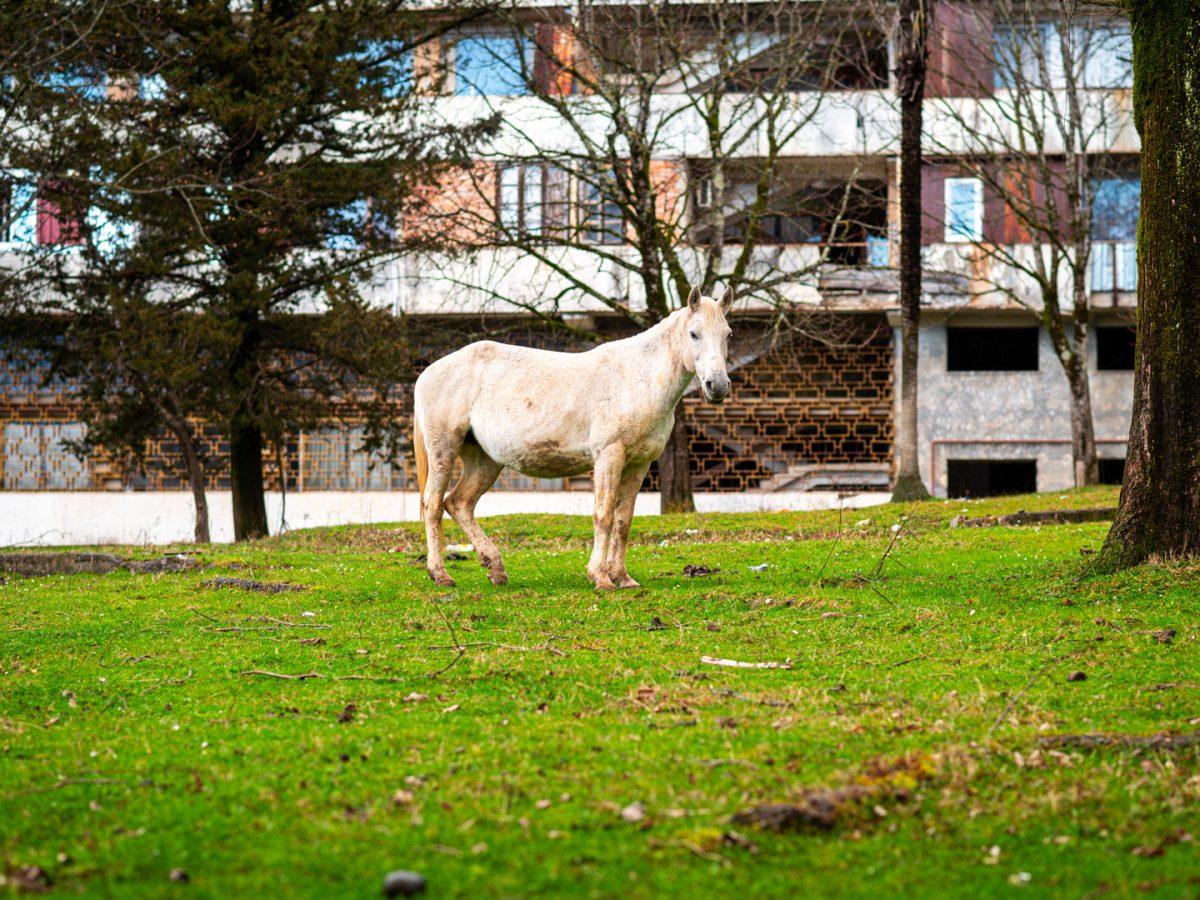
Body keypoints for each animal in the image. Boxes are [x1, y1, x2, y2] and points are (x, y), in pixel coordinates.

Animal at [412, 285, 729, 588]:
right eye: (694, 334)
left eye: (727, 334)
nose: (718, 386)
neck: (638, 378)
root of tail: (428, 373)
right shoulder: (609, 457)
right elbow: (604, 516)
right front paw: (601, 578)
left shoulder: (639, 465)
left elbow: (623, 520)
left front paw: (623, 578)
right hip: (444, 450)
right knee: (433, 506)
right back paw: (440, 574)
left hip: (485, 461)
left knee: (459, 504)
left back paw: (496, 568)